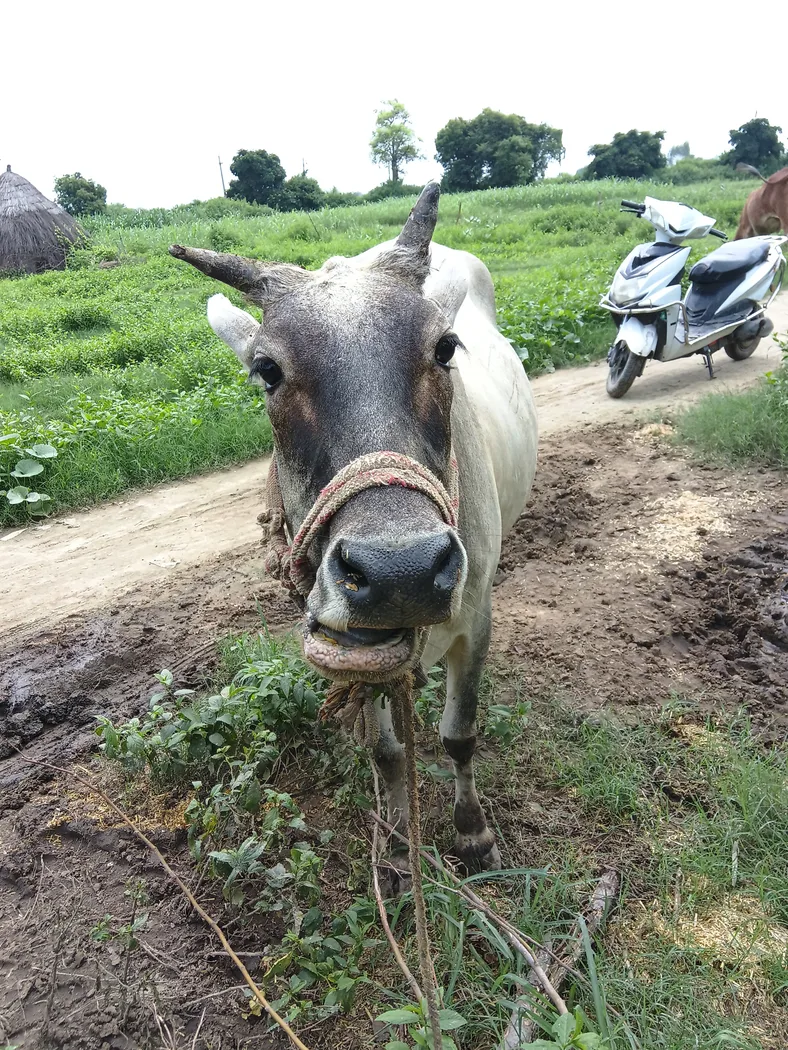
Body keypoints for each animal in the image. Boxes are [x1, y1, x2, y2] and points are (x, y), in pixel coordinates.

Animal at [170, 183, 538, 880]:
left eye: (445, 348)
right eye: (267, 370)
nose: (402, 571)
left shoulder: (477, 614)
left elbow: (460, 735)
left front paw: (473, 835)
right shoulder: (350, 638)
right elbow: (387, 753)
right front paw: (394, 848)